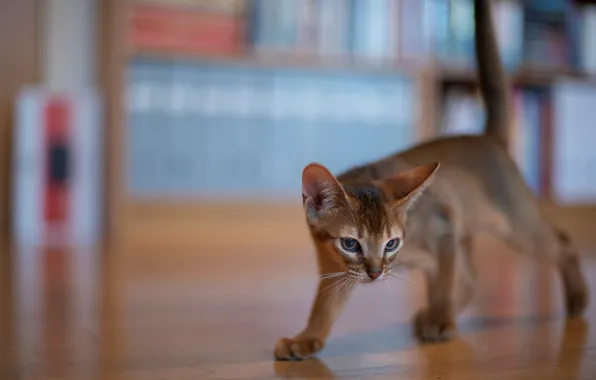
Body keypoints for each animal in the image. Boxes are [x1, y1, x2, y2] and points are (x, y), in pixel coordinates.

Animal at [274, 0, 588, 360]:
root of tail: (488, 138)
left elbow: (444, 284)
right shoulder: (337, 268)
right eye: (350, 243)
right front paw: (306, 338)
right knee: (471, 278)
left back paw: (576, 298)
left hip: (514, 226)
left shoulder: (442, 224)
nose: (375, 273)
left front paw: (439, 319)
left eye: (391, 243)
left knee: (561, 242)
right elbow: (325, 306)